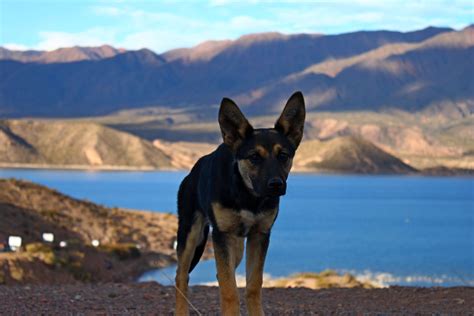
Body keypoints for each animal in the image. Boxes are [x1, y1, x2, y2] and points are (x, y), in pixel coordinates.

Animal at [176, 90, 306, 314]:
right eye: (254, 157)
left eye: (283, 155)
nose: (276, 185)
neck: (247, 195)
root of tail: (192, 172)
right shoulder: (221, 235)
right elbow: (229, 291)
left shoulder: (259, 235)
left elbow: (253, 286)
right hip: (191, 234)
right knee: (181, 276)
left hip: (235, 246)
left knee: (219, 274)